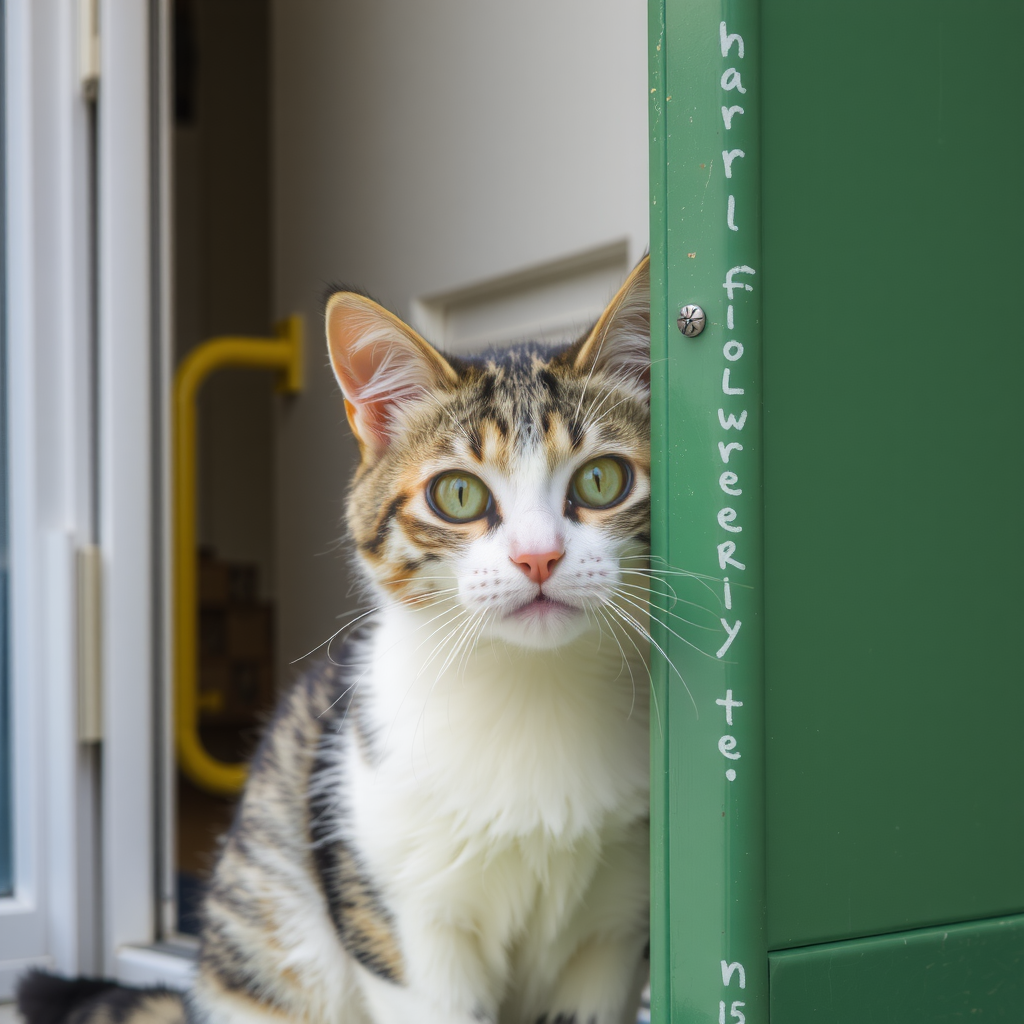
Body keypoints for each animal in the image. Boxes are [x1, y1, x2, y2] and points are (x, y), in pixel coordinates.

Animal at [16, 256, 651, 1024]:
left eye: (602, 479)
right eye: (458, 495)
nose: (539, 558)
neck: (533, 691)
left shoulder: (615, 933)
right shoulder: (395, 912)